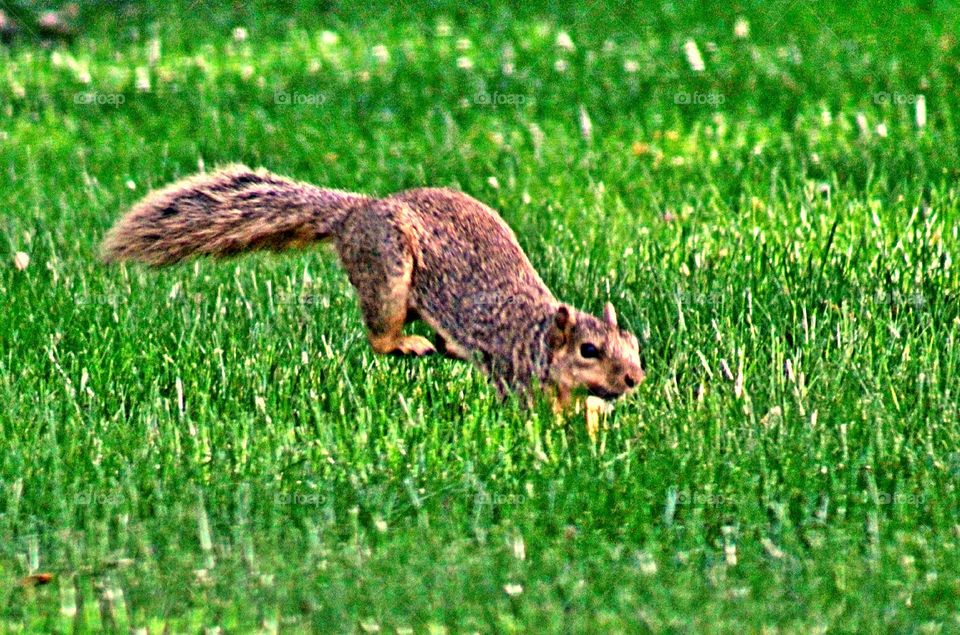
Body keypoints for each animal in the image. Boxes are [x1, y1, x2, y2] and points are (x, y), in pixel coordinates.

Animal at [101, 165, 645, 406]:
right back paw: (406, 344)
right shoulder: (511, 370)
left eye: (634, 344)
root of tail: (356, 213)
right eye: (589, 350)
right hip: (387, 272)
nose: (635, 379)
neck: (535, 333)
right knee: (378, 336)